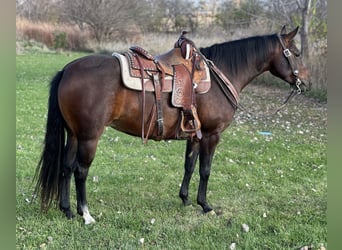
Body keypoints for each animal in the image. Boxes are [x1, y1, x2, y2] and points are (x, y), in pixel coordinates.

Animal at [34, 25, 310, 225]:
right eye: (296, 54)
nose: (306, 83)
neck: (222, 75)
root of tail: (67, 70)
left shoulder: (196, 135)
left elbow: (189, 165)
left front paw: (186, 199)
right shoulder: (212, 135)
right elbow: (205, 170)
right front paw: (205, 205)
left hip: (75, 134)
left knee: (66, 167)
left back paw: (67, 210)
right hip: (89, 137)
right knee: (80, 171)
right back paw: (86, 215)